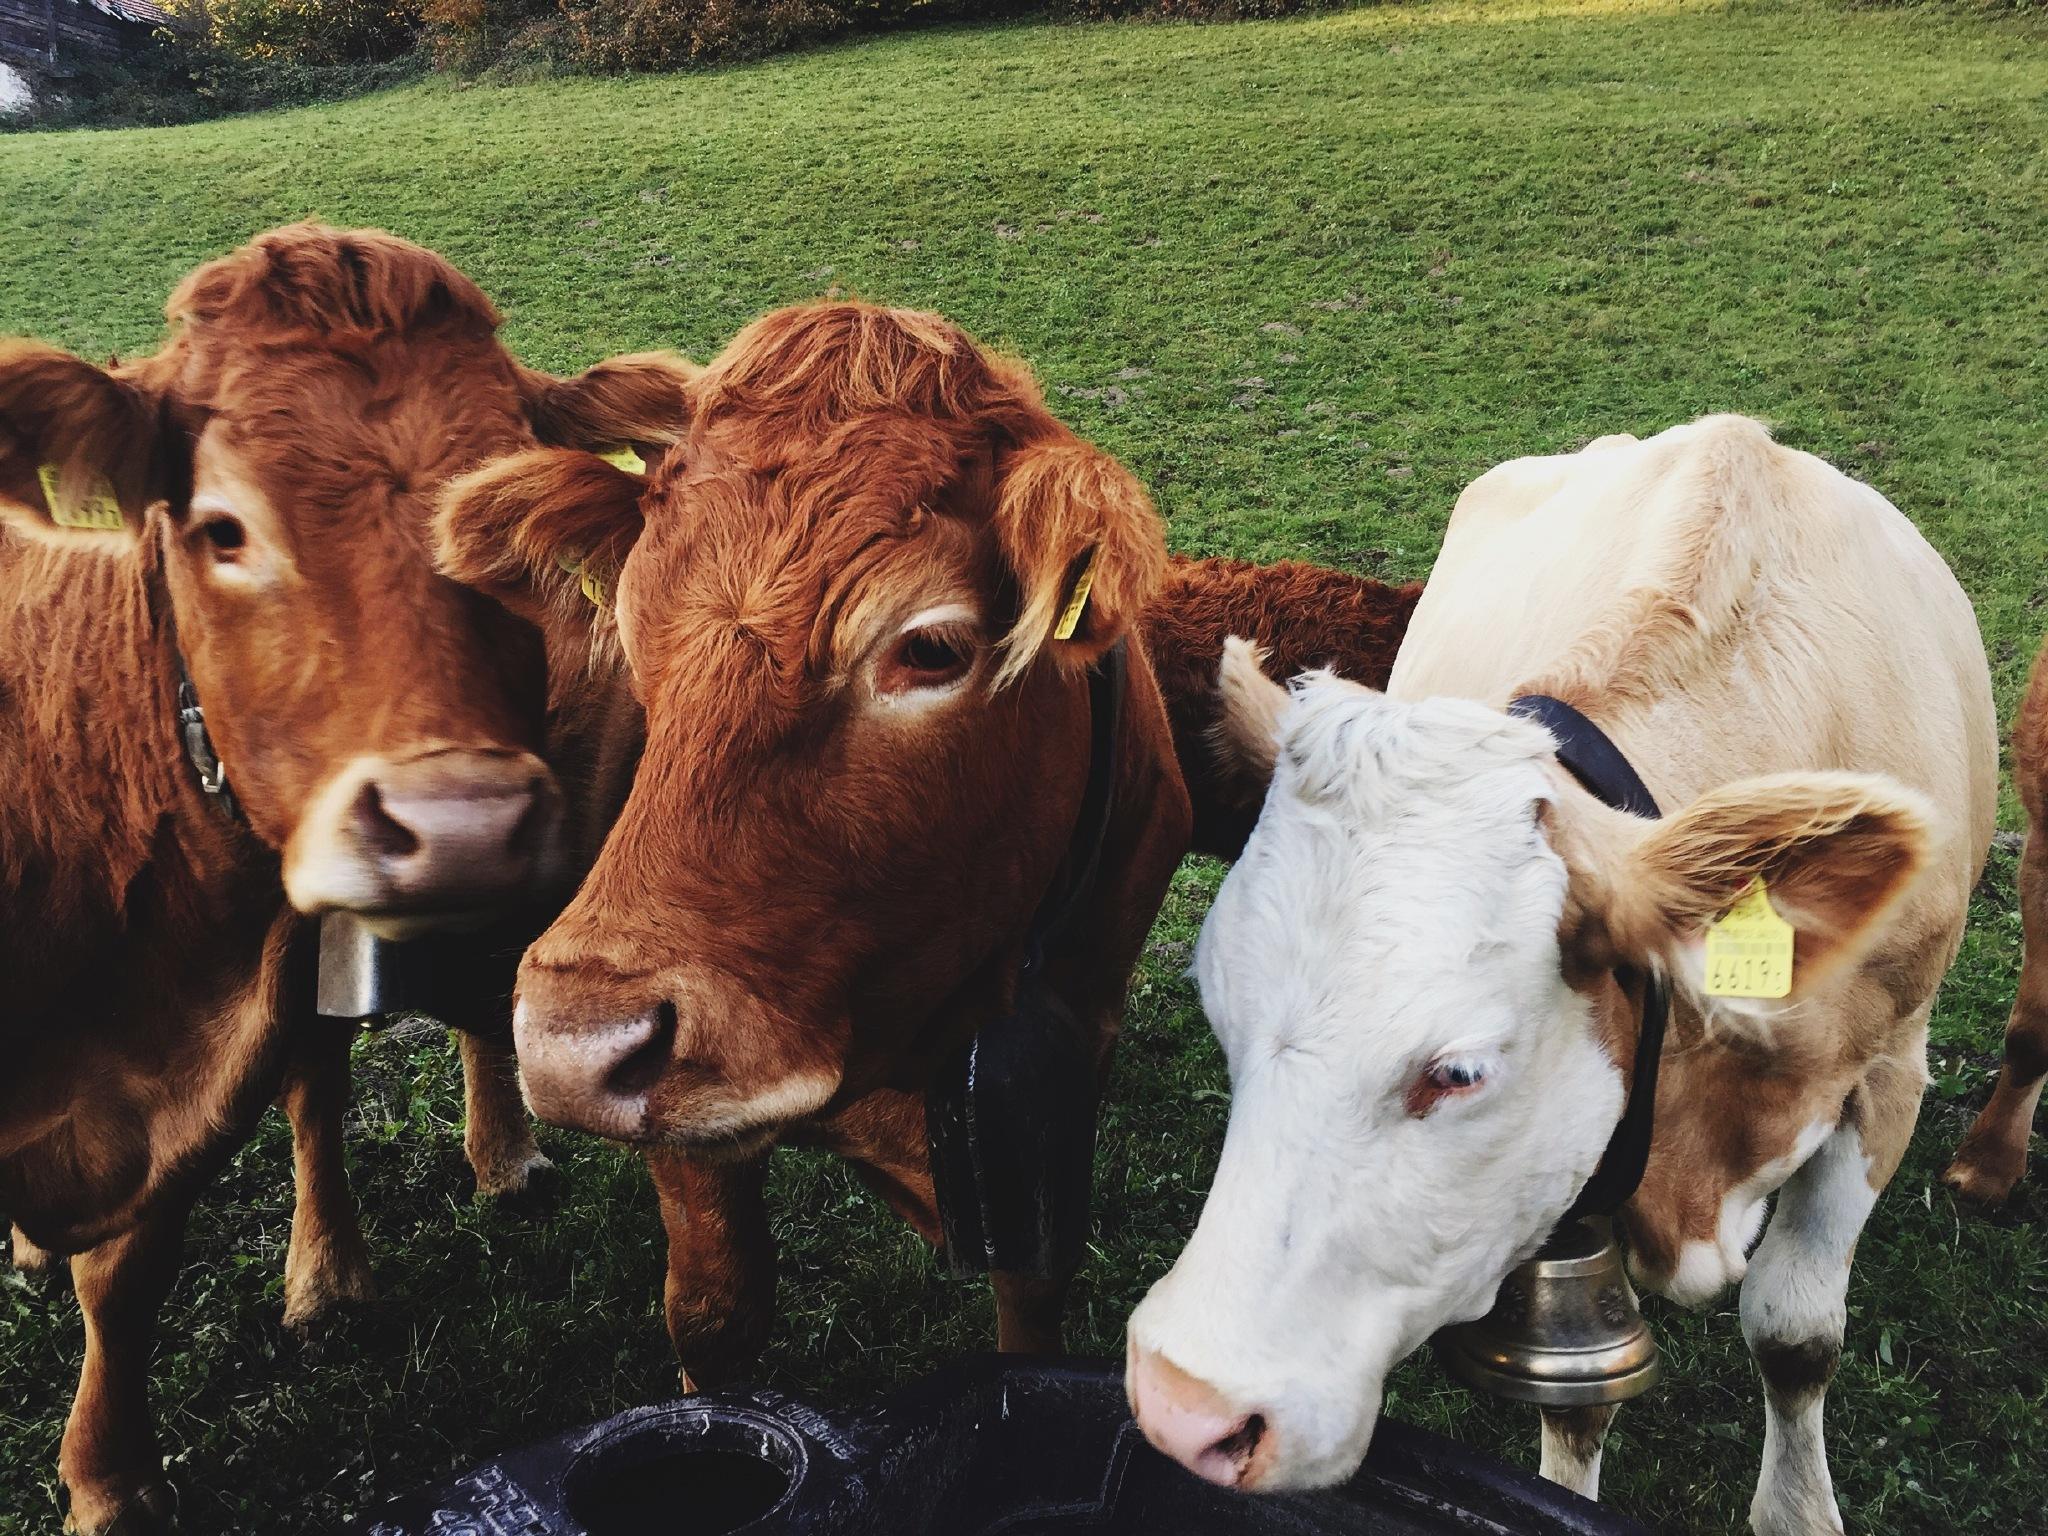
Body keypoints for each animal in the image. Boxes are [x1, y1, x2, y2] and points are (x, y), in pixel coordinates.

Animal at [1130, 417, 1990, 1536]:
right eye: (1223, 1024)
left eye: (1457, 1073)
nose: (1179, 1405)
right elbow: (1574, 1398)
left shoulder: (1886, 1072)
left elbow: (1795, 1334)